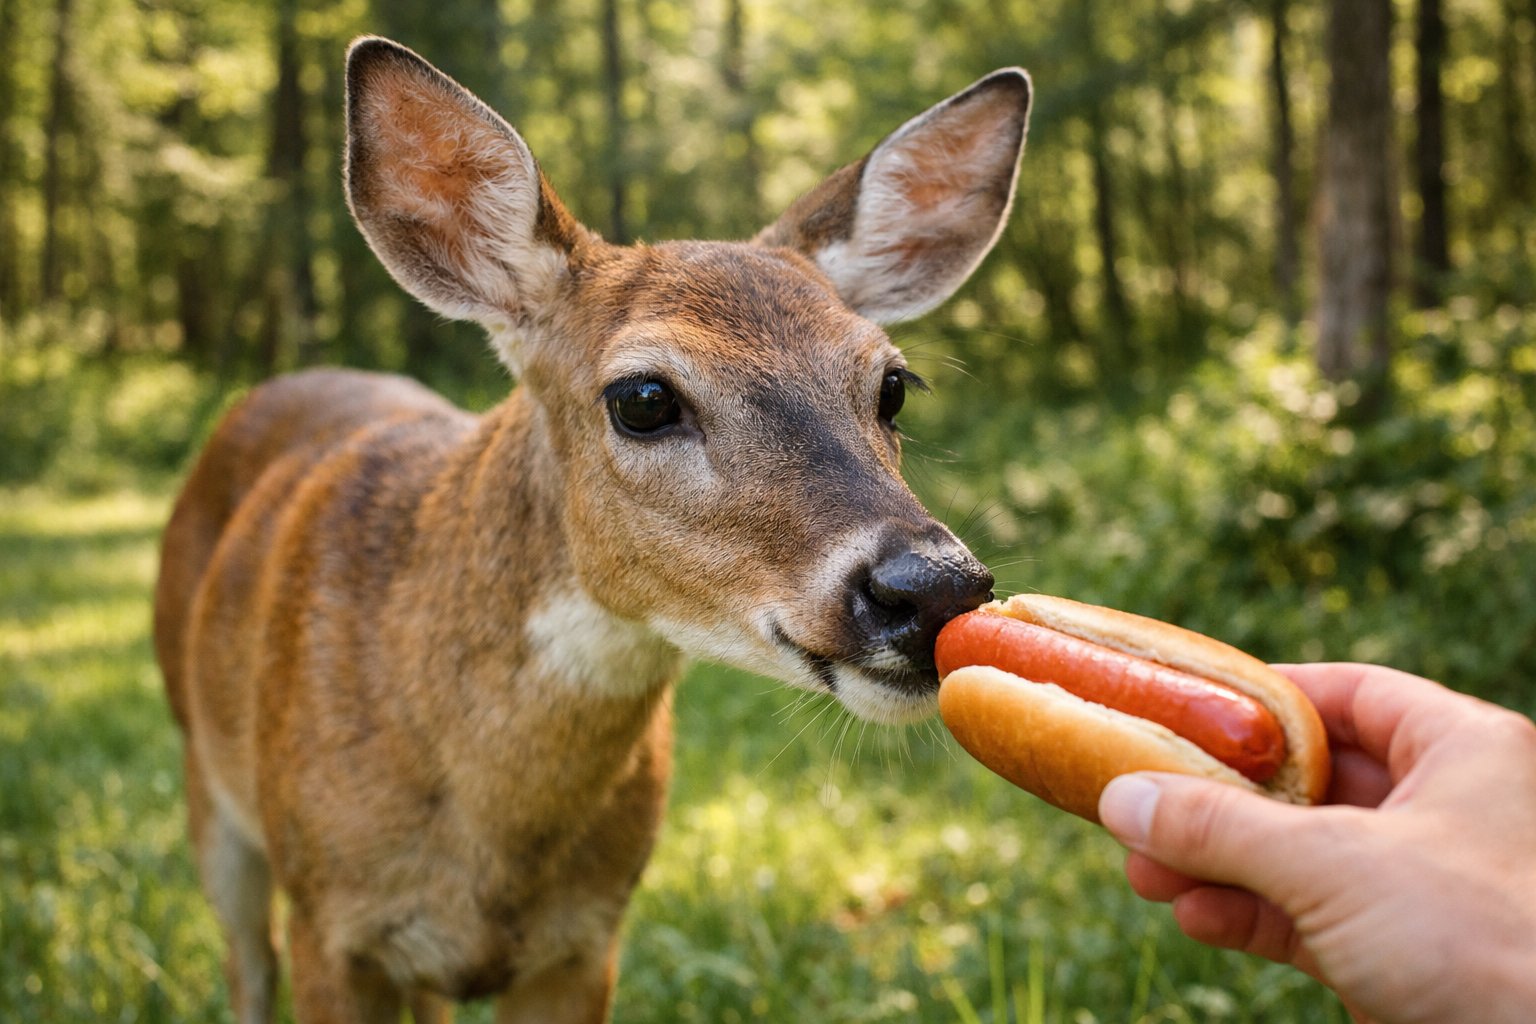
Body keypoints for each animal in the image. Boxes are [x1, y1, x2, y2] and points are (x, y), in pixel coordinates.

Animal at [152, 35, 1030, 1024]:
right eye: (643, 397)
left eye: (893, 385)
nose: (934, 586)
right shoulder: (329, 924)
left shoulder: (586, 940)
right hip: (209, 784)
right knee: (245, 961)